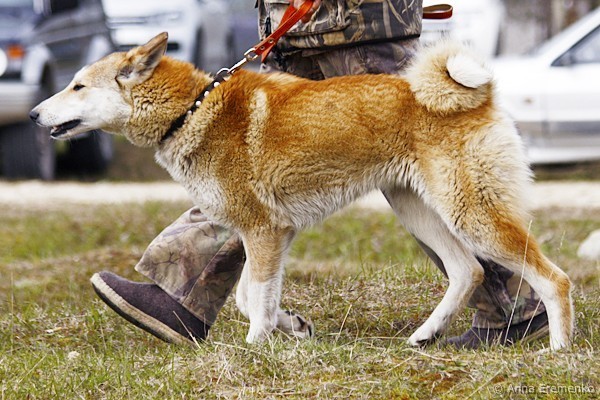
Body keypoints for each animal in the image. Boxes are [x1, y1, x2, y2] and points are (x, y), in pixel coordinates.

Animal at [30, 32, 573, 350]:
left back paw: (558, 351)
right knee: (467, 272)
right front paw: (289, 327)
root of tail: (479, 97)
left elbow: (255, 302)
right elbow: (252, 297)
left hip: (472, 216)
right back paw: (427, 335)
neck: (193, 110)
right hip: (419, 211)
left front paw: (254, 350)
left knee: (554, 279)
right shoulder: (268, 233)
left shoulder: (264, 231)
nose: (34, 114)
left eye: (77, 86)